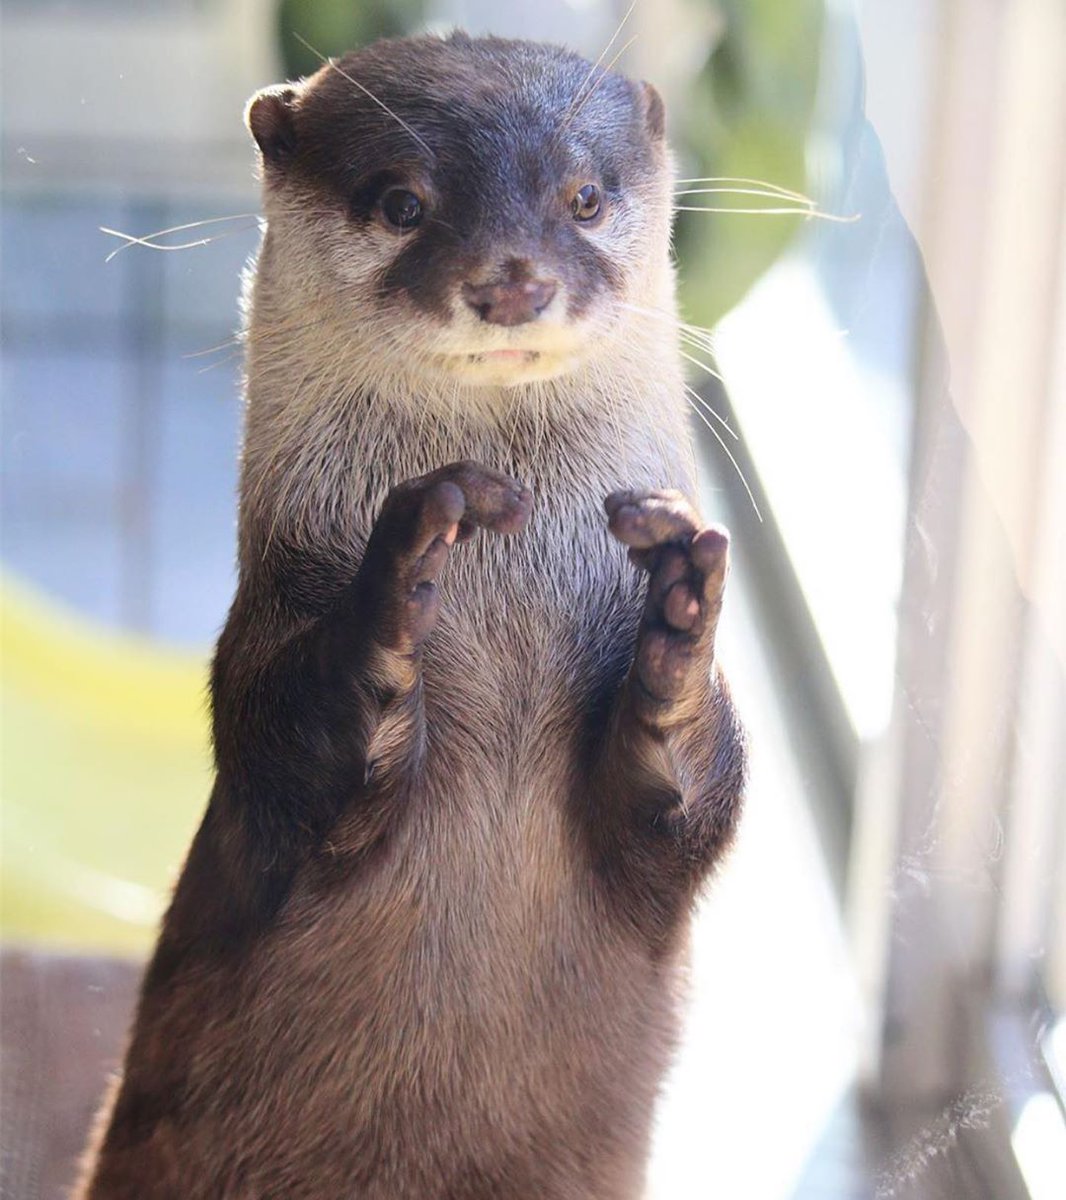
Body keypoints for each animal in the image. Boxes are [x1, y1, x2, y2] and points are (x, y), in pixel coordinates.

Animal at [78, 32, 747, 1200]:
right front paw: (393, 583)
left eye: (583, 197)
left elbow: (694, 795)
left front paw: (679, 617)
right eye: (401, 201)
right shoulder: (263, 636)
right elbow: (294, 745)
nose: (512, 276)